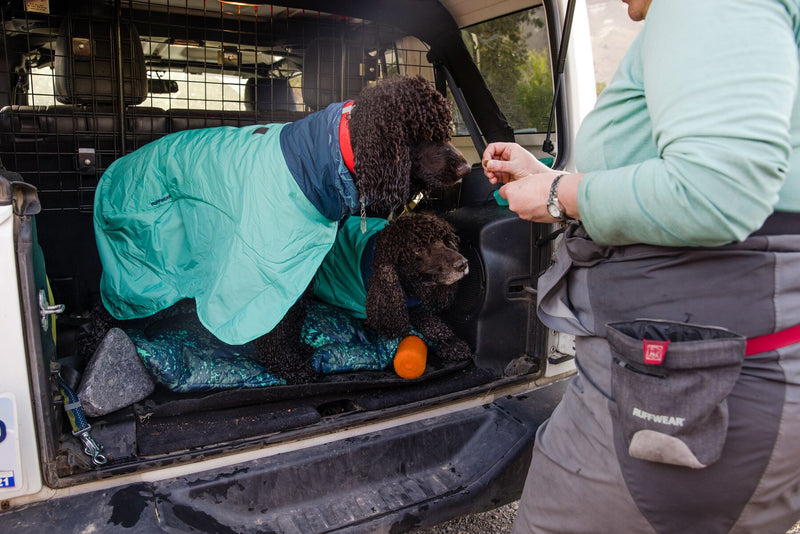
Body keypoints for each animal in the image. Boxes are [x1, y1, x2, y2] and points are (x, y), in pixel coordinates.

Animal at [253, 211, 472, 384]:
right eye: (417, 249)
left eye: (445, 240)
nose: (463, 263)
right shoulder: (379, 308)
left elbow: (429, 319)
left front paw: (451, 342)